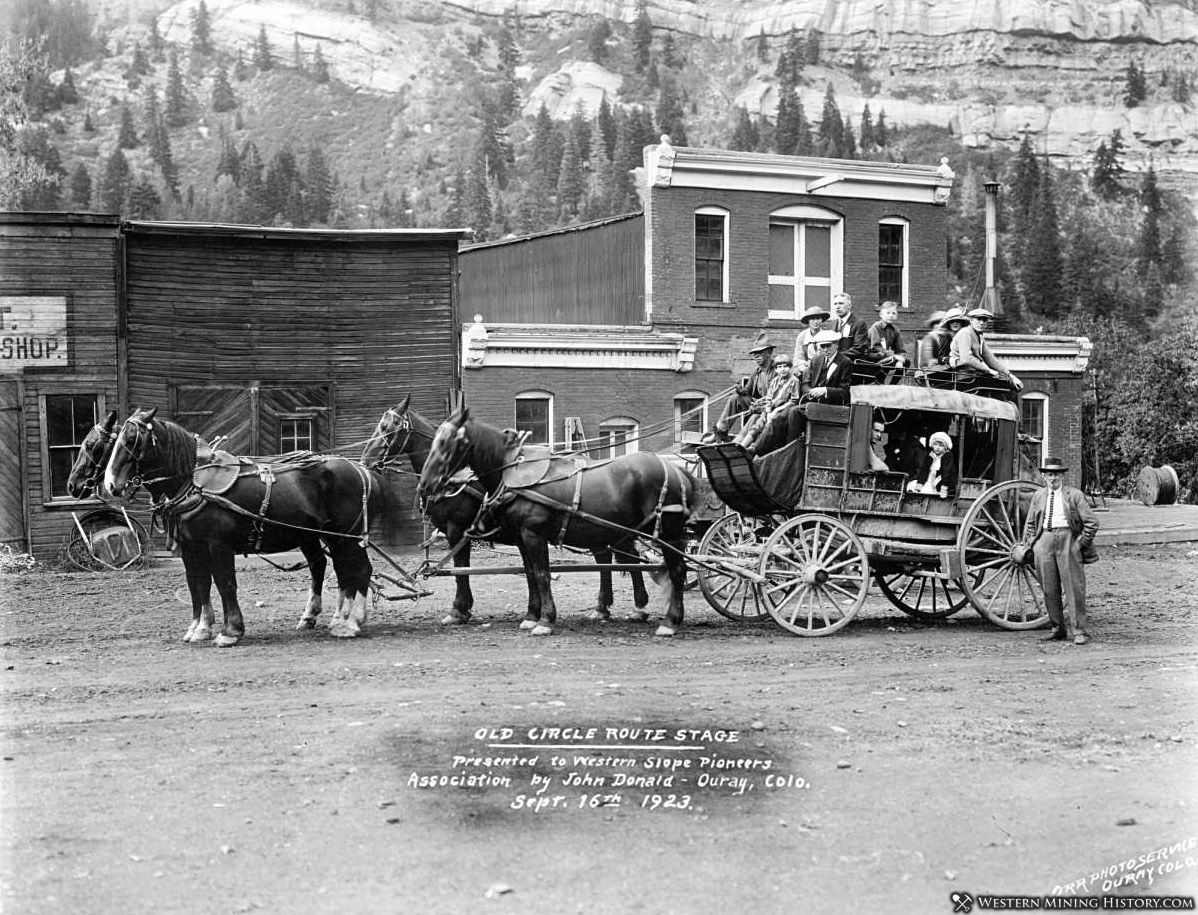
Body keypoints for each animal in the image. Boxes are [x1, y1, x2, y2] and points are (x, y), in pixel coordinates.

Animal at [103, 404, 385, 646]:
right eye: (115, 441)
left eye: (132, 440)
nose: (110, 484)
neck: (196, 484)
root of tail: (360, 469)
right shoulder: (191, 547)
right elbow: (197, 584)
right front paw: (199, 628)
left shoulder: (218, 545)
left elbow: (225, 583)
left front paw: (230, 631)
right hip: (317, 535)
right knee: (333, 568)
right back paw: (329, 618)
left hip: (345, 535)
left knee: (360, 569)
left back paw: (351, 623)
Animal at [361, 397, 656, 627]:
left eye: (386, 428)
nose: (365, 459)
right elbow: (528, 573)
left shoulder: (458, 531)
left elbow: (461, 569)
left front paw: (459, 610)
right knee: (607, 558)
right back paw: (604, 607)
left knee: (627, 558)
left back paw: (638, 607)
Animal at [416, 407, 694, 637]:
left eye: (448, 442)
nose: (425, 484)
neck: (512, 472)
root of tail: (677, 470)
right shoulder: (521, 537)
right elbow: (530, 573)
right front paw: (531, 615)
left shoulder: (532, 534)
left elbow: (542, 575)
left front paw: (546, 620)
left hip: (667, 533)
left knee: (677, 570)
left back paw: (670, 621)